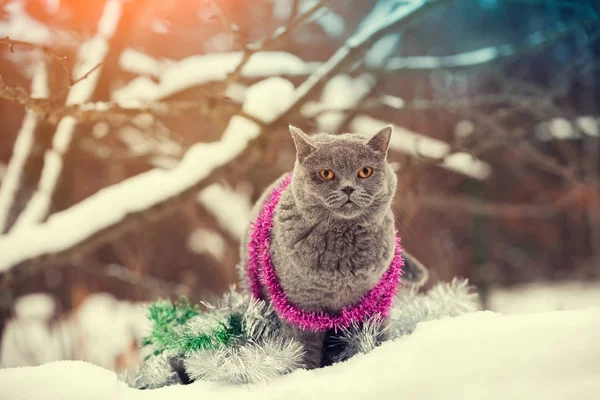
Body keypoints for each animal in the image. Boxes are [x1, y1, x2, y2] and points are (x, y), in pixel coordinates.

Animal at [239, 125, 426, 368]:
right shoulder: (301, 307)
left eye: (365, 171)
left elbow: (375, 334)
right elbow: (304, 348)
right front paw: (305, 372)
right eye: (326, 173)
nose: (348, 188)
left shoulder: (374, 301)